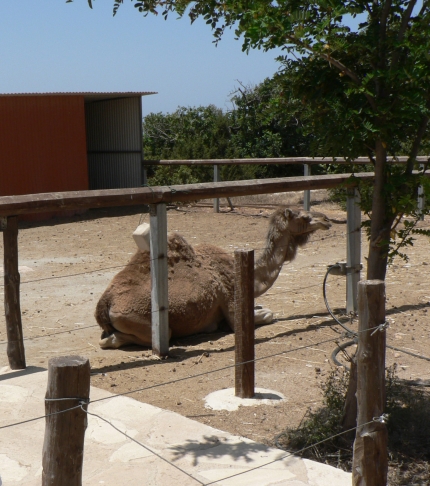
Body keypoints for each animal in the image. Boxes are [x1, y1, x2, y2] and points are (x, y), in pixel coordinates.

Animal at [95, 206, 330, 350]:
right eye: (304, 216)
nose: (326, 219)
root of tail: (104, 304)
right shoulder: (232, 304)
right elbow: (268, 314)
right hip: (139, 319)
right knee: (118, 340)